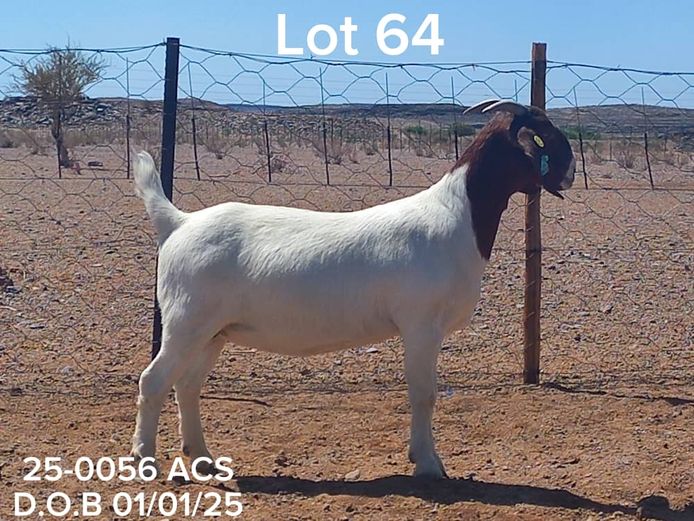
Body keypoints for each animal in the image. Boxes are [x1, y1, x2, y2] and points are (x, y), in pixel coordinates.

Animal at [131, 99, 576, 479]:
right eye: (542, 136)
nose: (570, 172)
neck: (457, 215)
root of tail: (178, 223)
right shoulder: (421, 326)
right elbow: (424, 394)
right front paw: (428, 464)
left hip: (213, 332)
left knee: (187, 385)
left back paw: (202, 459)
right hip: (186, 322)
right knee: (153, 381)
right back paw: (146, 459)